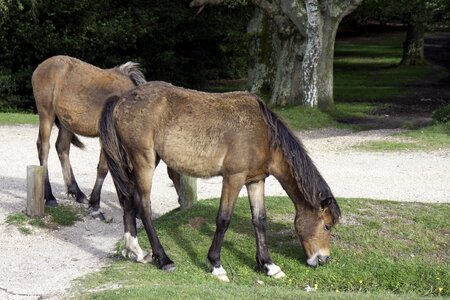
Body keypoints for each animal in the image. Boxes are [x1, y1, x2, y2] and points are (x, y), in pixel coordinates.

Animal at [31, 55, 180, 216]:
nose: (181, 202)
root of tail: (42, 66)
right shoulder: (107, 140)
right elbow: (103, 169)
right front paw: (95, 205)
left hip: (66, 123)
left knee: (62, 148)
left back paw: (77, 192)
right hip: (47, 114)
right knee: (44, 148)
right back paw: (50, 196)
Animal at [99, 81, 342, 280]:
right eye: (327, 225)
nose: (323, 259)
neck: (263, 133)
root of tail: (121, 100)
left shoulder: (255, 181)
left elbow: (260, 220)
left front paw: (268, 265)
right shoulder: (233, 178)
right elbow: (223, 219)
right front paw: (216, 264)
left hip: (135, 164)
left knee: (128, 199)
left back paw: (135, 250)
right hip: (144, 162)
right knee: (144, 207)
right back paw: (164, 259)